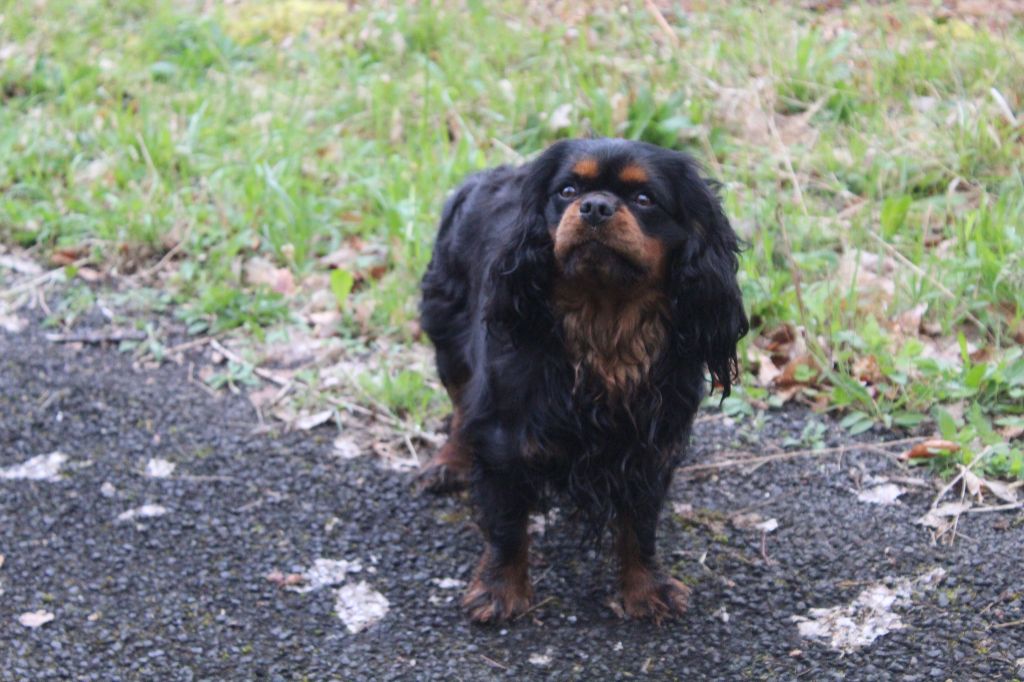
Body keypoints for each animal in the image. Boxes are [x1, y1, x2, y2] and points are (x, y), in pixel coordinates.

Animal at [418, 138, 748, 623]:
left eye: (644, 198)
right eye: (568, 191)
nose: (595, 206)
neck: (603, 325)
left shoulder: (650, 446)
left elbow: (639, 525)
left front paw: (646, 589)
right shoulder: (503, 435)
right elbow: (507, 523)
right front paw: (500, 590)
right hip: (448, 334)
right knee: (460, 407)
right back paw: (449, 463)